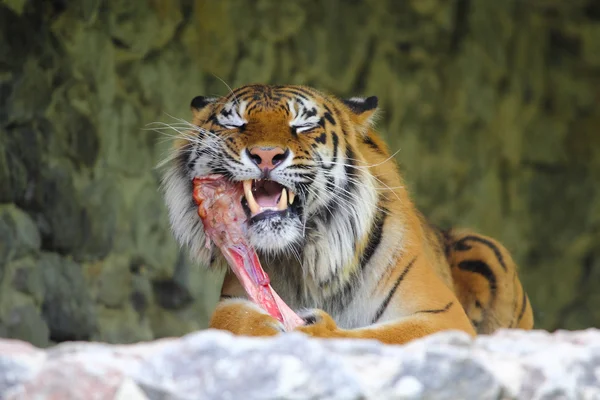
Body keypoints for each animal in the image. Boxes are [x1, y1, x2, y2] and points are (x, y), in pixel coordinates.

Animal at [161, 83, 536, 344]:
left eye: (302, 126)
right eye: (237, 124)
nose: (266, 155)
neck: (304, 260)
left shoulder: (441, 315)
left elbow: (382, 336)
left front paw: (314, 329)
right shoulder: (234, 298)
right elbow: (233, 321)